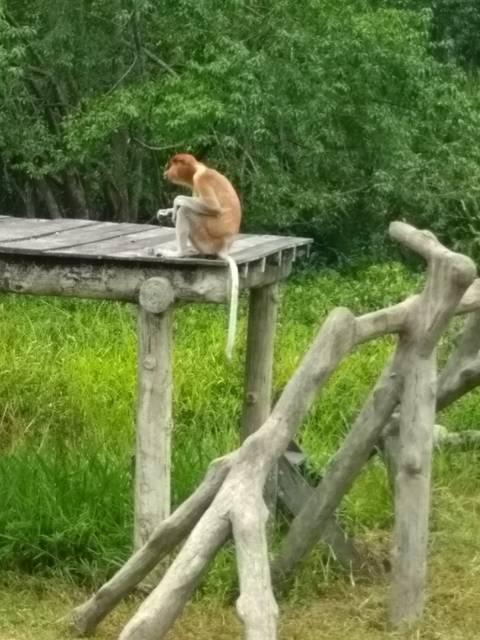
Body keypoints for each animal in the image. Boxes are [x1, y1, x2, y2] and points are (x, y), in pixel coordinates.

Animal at [155, 153, 242, 359]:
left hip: (206, 237)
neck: (198, 168)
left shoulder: (201, 180)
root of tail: (224, 247)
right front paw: (165, 212)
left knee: (188, 212)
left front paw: (175, 203)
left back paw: (179, 252)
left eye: (172, 164)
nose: (166, 172)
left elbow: (211, 206)